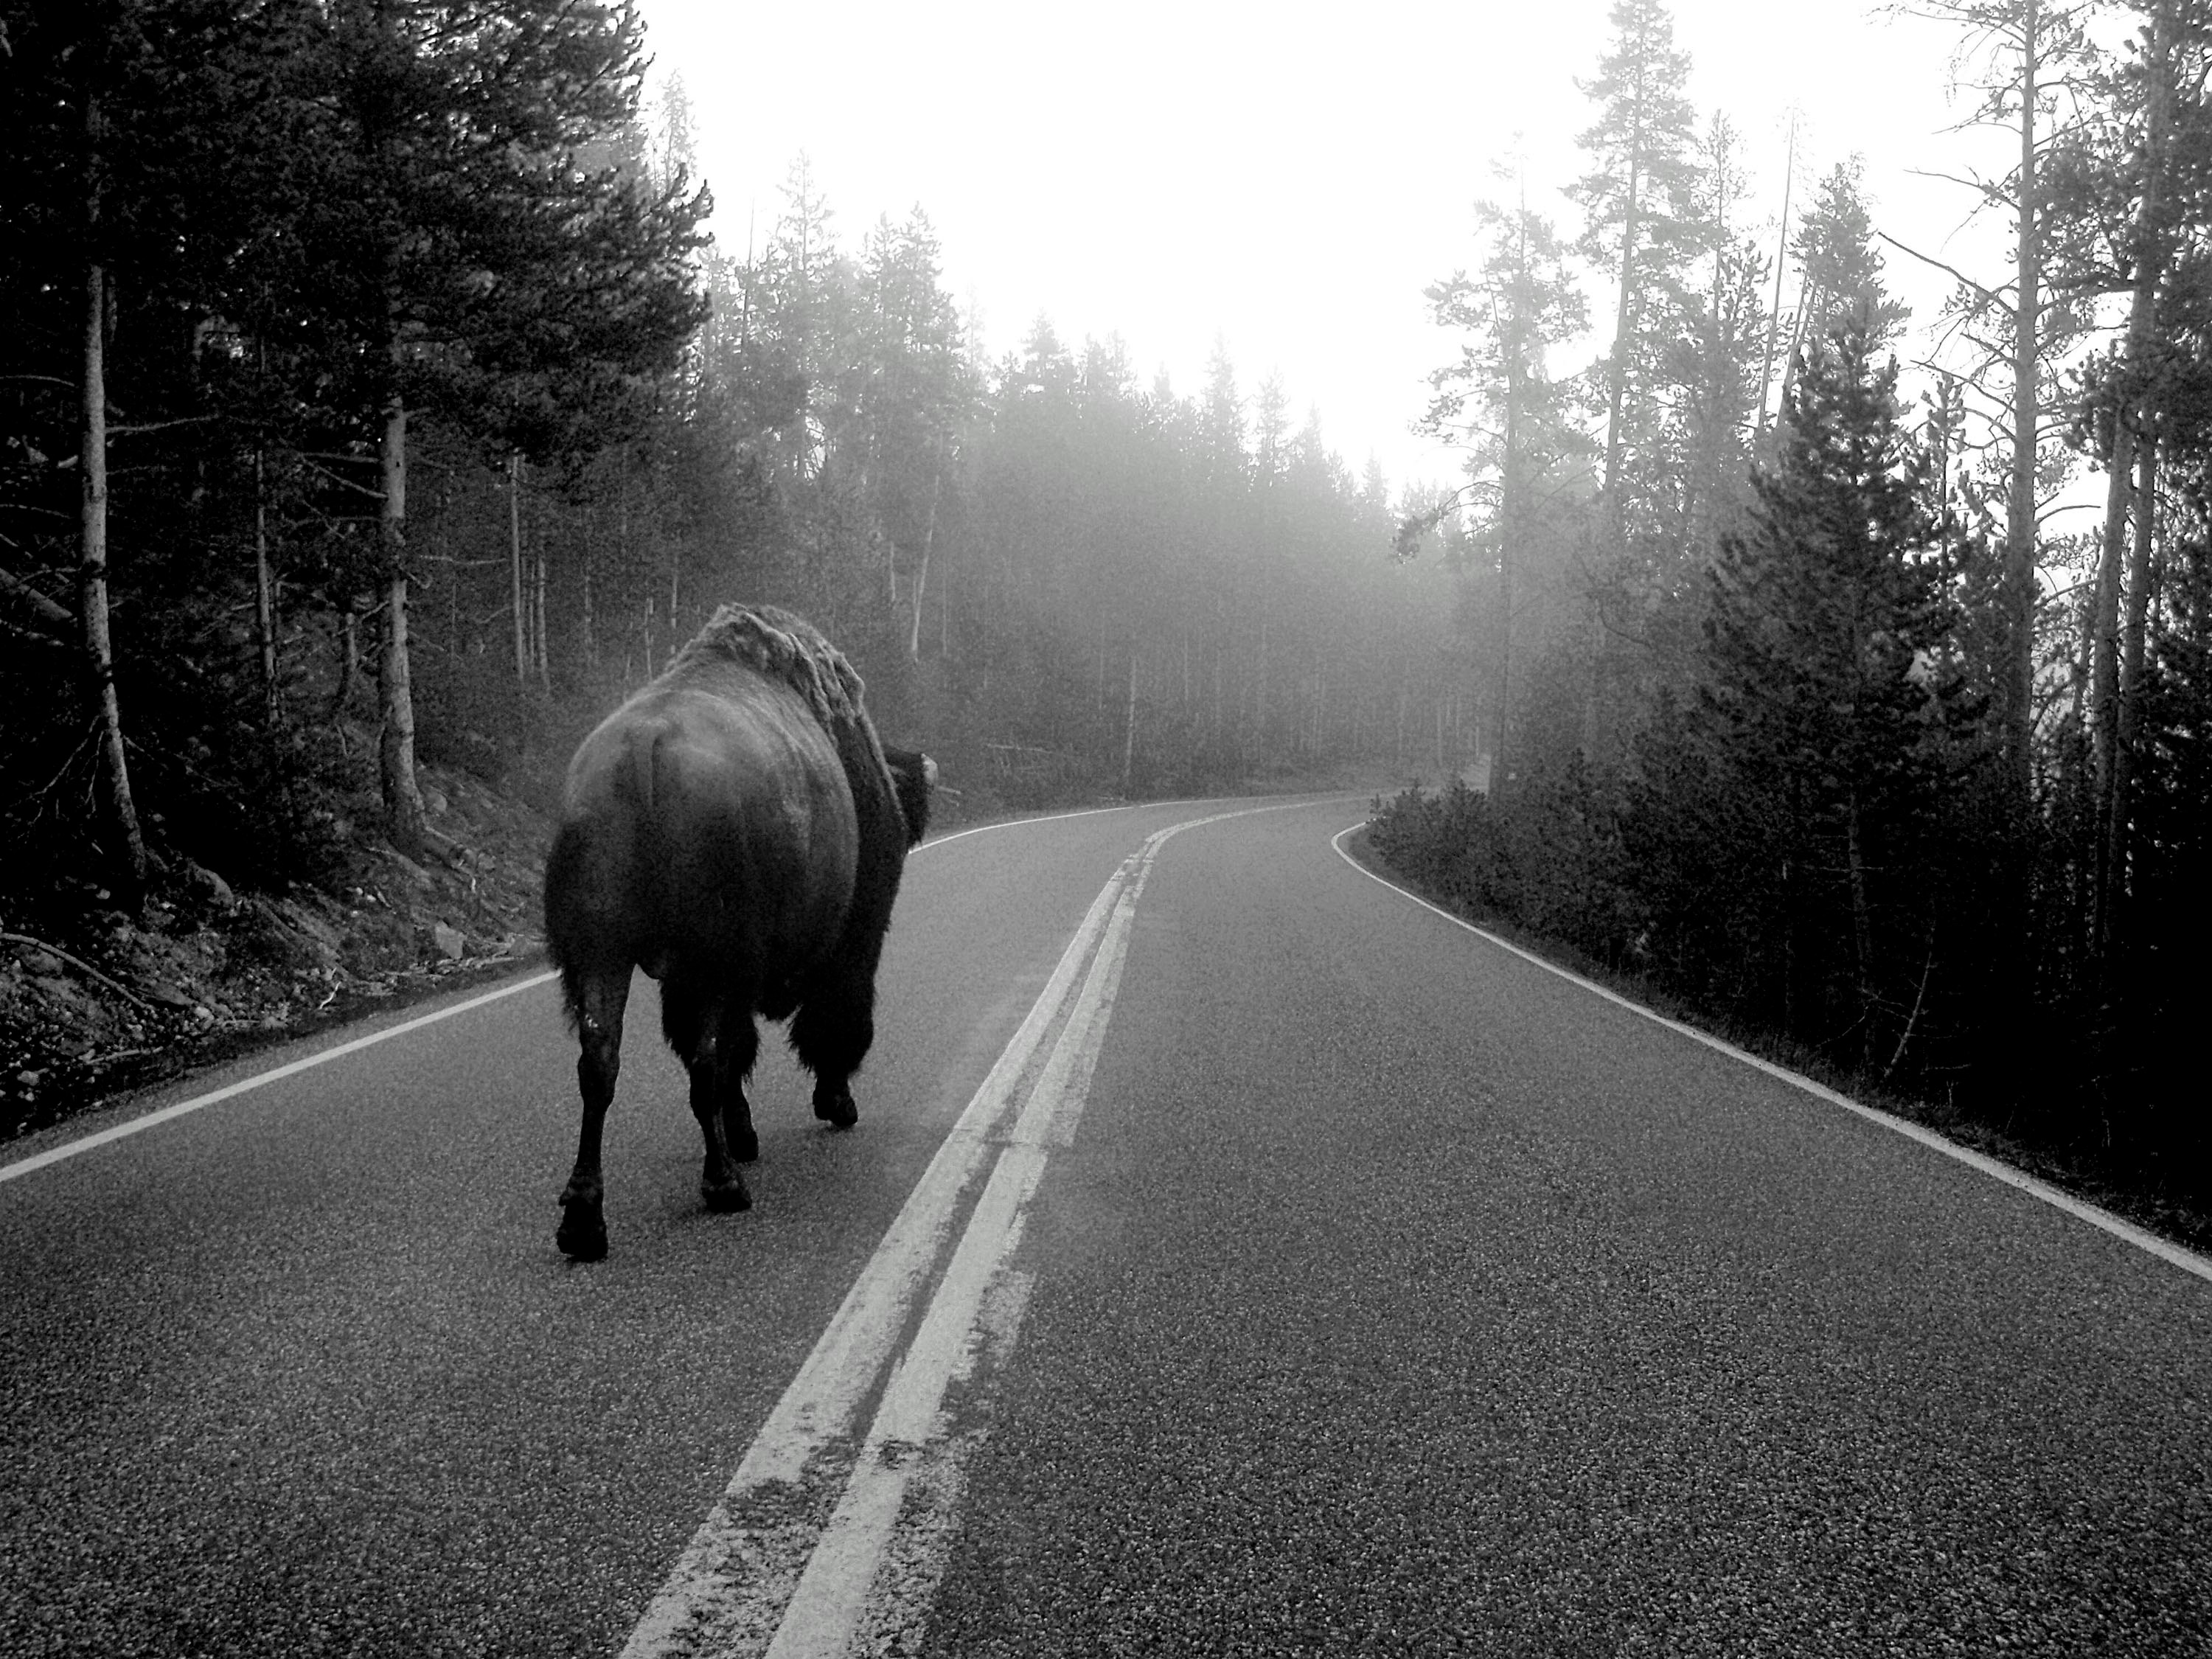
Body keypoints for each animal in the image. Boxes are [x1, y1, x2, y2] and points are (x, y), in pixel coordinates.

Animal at [553, 606, 942, 1265]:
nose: (841, 1107)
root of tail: (644, 747)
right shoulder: (848, 944)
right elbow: (819, 1022)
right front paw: (833, 1102)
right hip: (710, 964)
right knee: (708, 1060)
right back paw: (725, 1183)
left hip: (601, 956)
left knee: (601, 1062)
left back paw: (583, 1220)